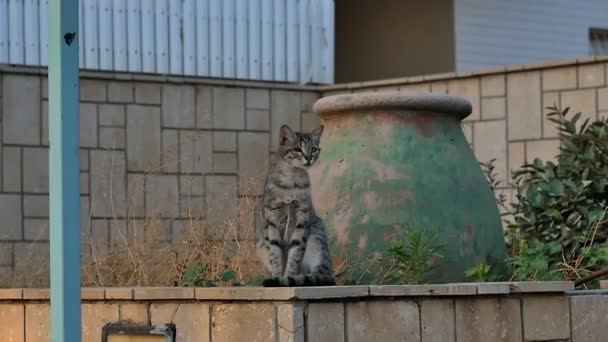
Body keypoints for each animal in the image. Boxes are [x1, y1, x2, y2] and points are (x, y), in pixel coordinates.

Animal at [254, 124, 334, 288]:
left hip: (317, 241)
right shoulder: (272, 219)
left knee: (319, 274)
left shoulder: (301, 219)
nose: (309, 158)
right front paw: (277, 277)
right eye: (298, 149)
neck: (292, 182)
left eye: (313, 149)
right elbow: (276, 254)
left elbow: (294, 255)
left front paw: (287, 279)